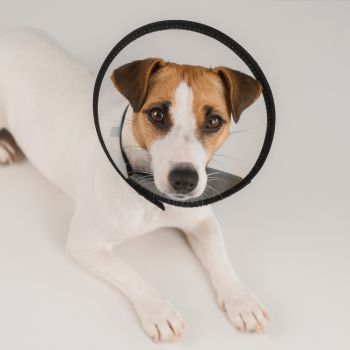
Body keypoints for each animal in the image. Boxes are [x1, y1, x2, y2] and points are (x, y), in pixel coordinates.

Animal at [0, 29, 270, 342]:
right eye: (157, 114)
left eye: (214, 121)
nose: (184, 180)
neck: (151, 195)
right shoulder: (85, 245)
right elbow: (132, 274)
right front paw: (159, 311)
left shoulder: (202, 223)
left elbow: (221, 261)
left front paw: (242, 301)